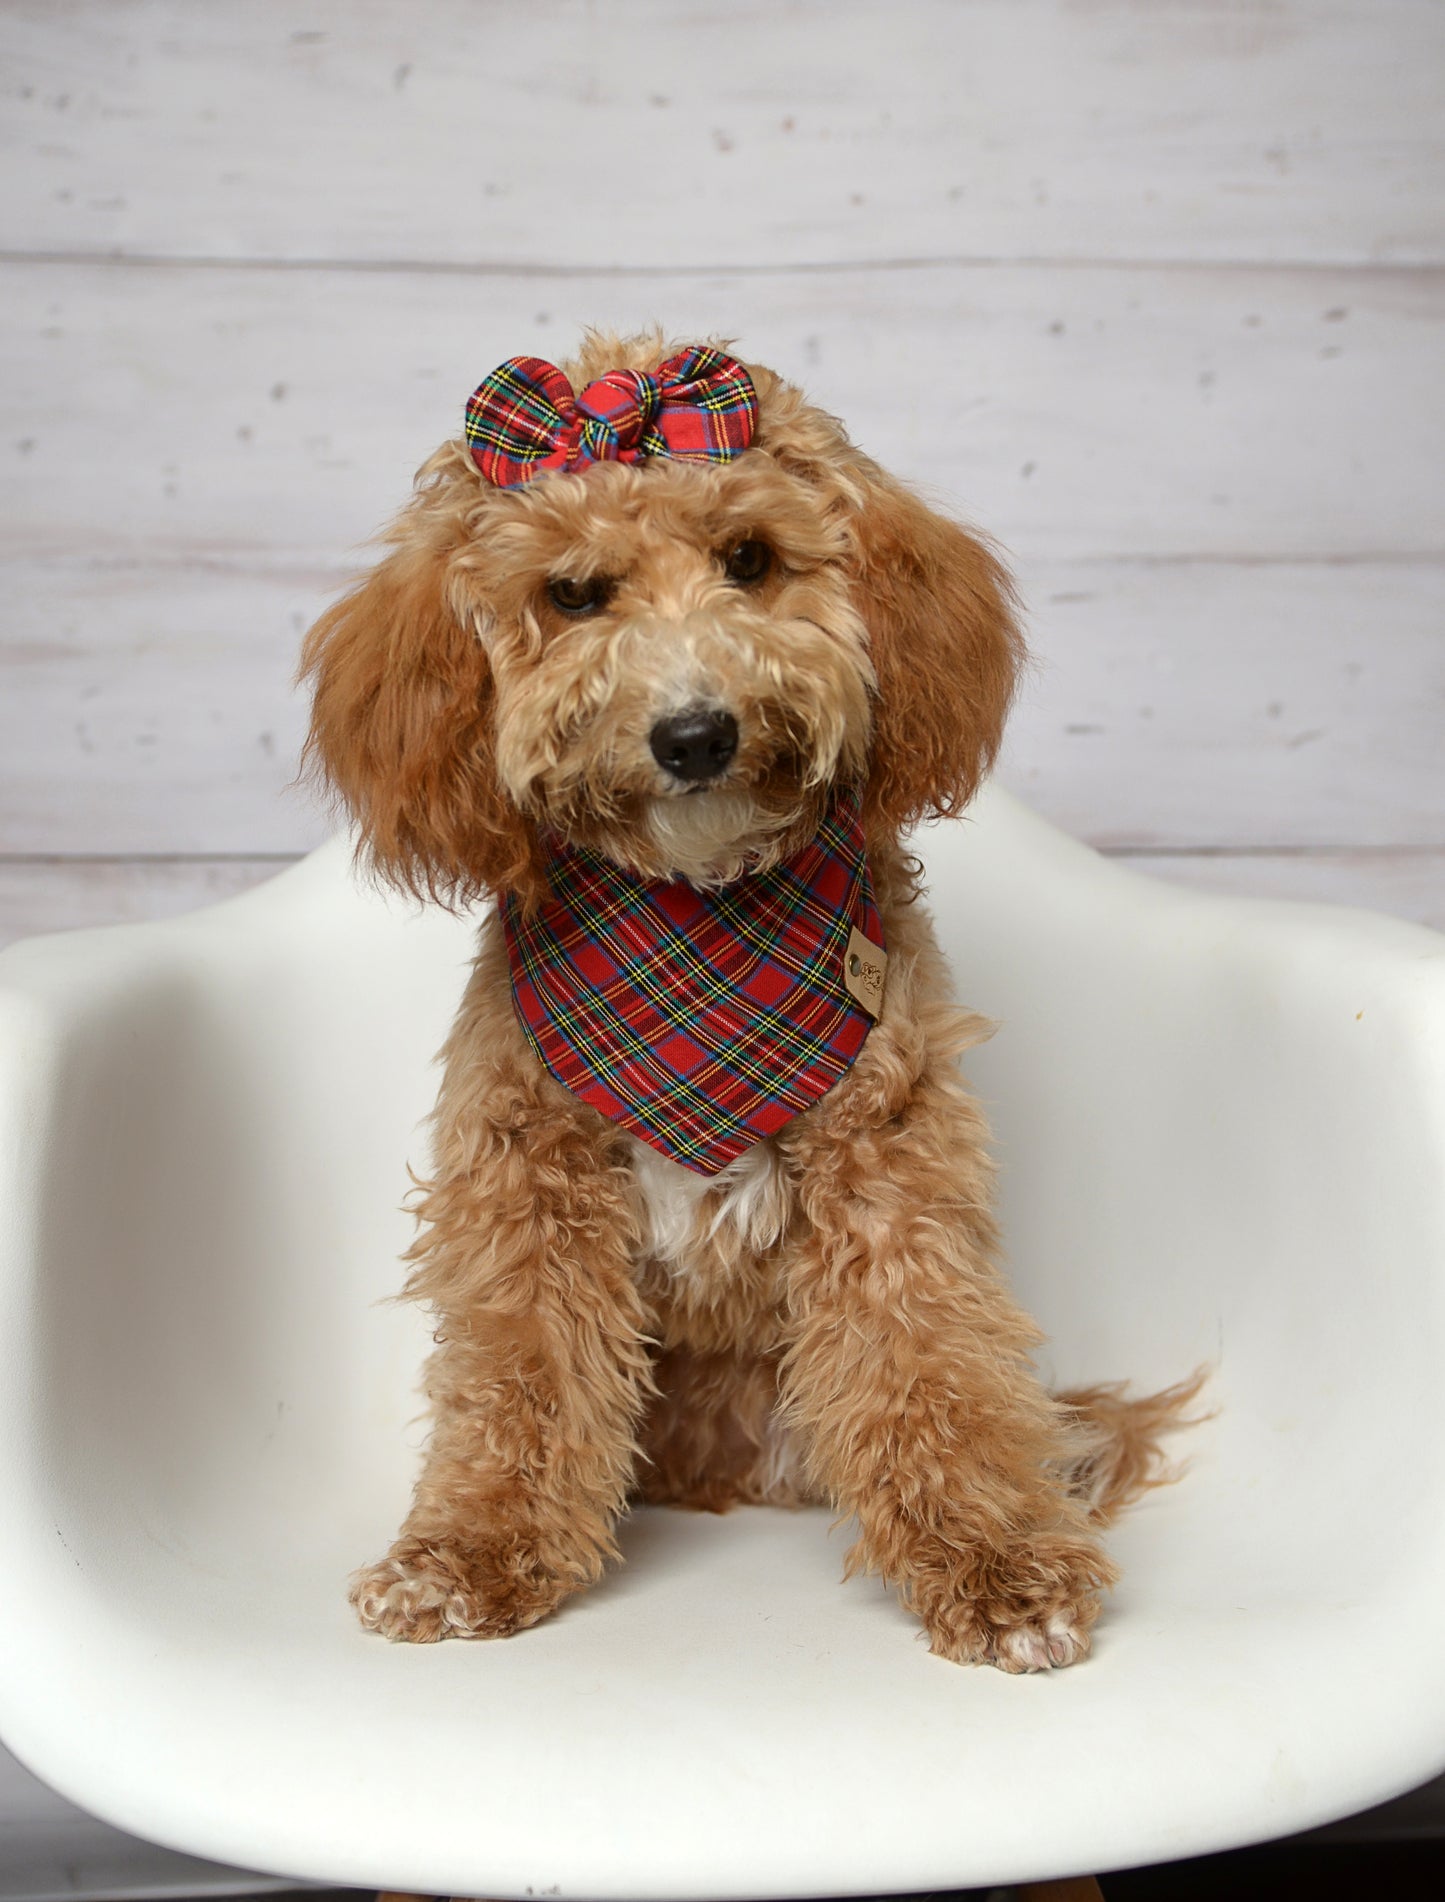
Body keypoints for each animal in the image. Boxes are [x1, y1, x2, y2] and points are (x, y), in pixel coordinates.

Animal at [298, 334, 1194, 1673]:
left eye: (751, 560)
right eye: (573, 594)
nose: (694, 734)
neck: (698, 917)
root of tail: (719, 1476)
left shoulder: (889, 1169)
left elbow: (924, 1360)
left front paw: (995, 1561)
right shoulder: (527, 1178)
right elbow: (519, 1377)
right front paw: (468, 1555)